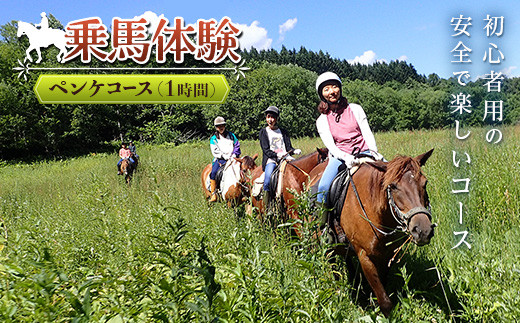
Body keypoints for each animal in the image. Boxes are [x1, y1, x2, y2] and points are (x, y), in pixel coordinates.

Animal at [308, 151, 434, 318]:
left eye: (424, 183)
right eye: (393, 186)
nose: (422, 230)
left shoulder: (387, 255)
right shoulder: (365, 256)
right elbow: (385, 302)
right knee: (332, 262)